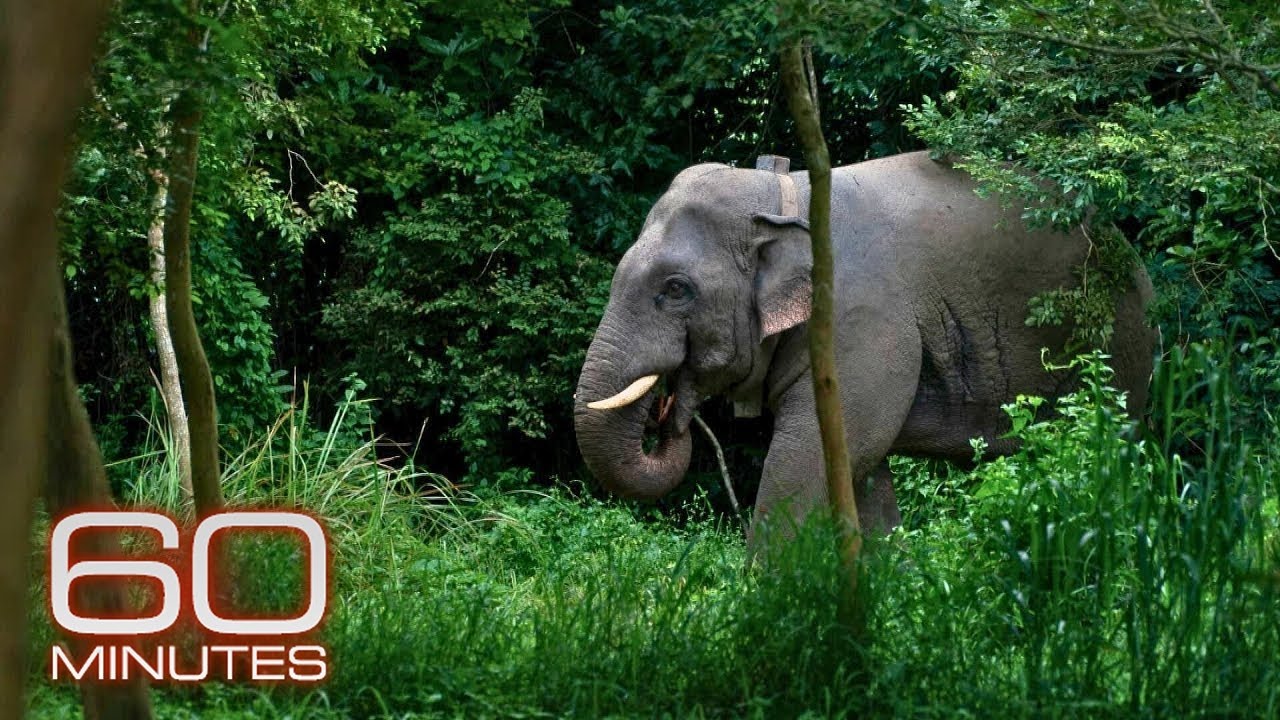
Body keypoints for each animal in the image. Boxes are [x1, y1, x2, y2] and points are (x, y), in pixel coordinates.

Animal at [573, 150, 1155, 540]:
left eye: (676, 289)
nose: (666, 417)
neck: (783, 191)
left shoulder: (861, 321)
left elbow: (808, 462)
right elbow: (863, 471)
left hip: (1119, 347)